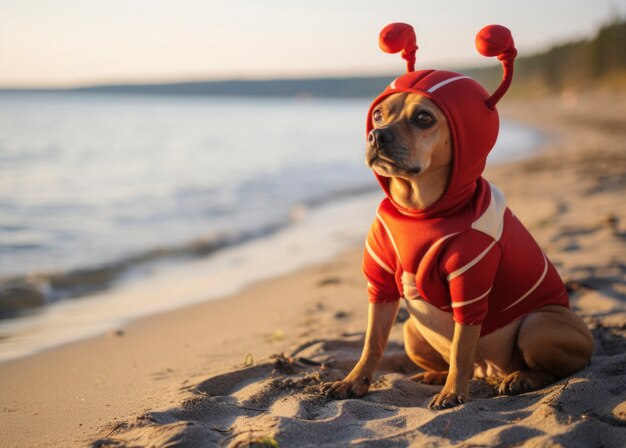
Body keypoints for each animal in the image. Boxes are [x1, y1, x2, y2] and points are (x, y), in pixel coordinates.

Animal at [322, 23, 588, 410]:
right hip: (412, 330)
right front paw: (353, 382)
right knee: (454, 360)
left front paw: (453, 393)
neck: (419, 209)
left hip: (540, 325)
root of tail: (488, 370)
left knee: (553, 368)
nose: (376, 135)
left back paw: (520, 377)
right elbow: (372, 343)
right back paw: (437, 375)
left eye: (423, 118)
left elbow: (462, 346)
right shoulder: (381, 283)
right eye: (378, 115)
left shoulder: (469, 286)